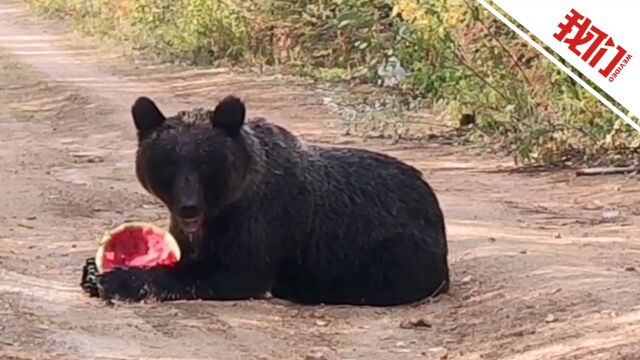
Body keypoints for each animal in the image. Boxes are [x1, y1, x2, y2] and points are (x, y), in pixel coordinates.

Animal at [80, 94, 450, 306]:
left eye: (204, 162)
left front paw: (115, 279)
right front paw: (92, 269)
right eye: (169, 162)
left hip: (390, 248)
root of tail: (431, 198)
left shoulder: (258, 221)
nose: (189, 206)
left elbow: (229, 272)